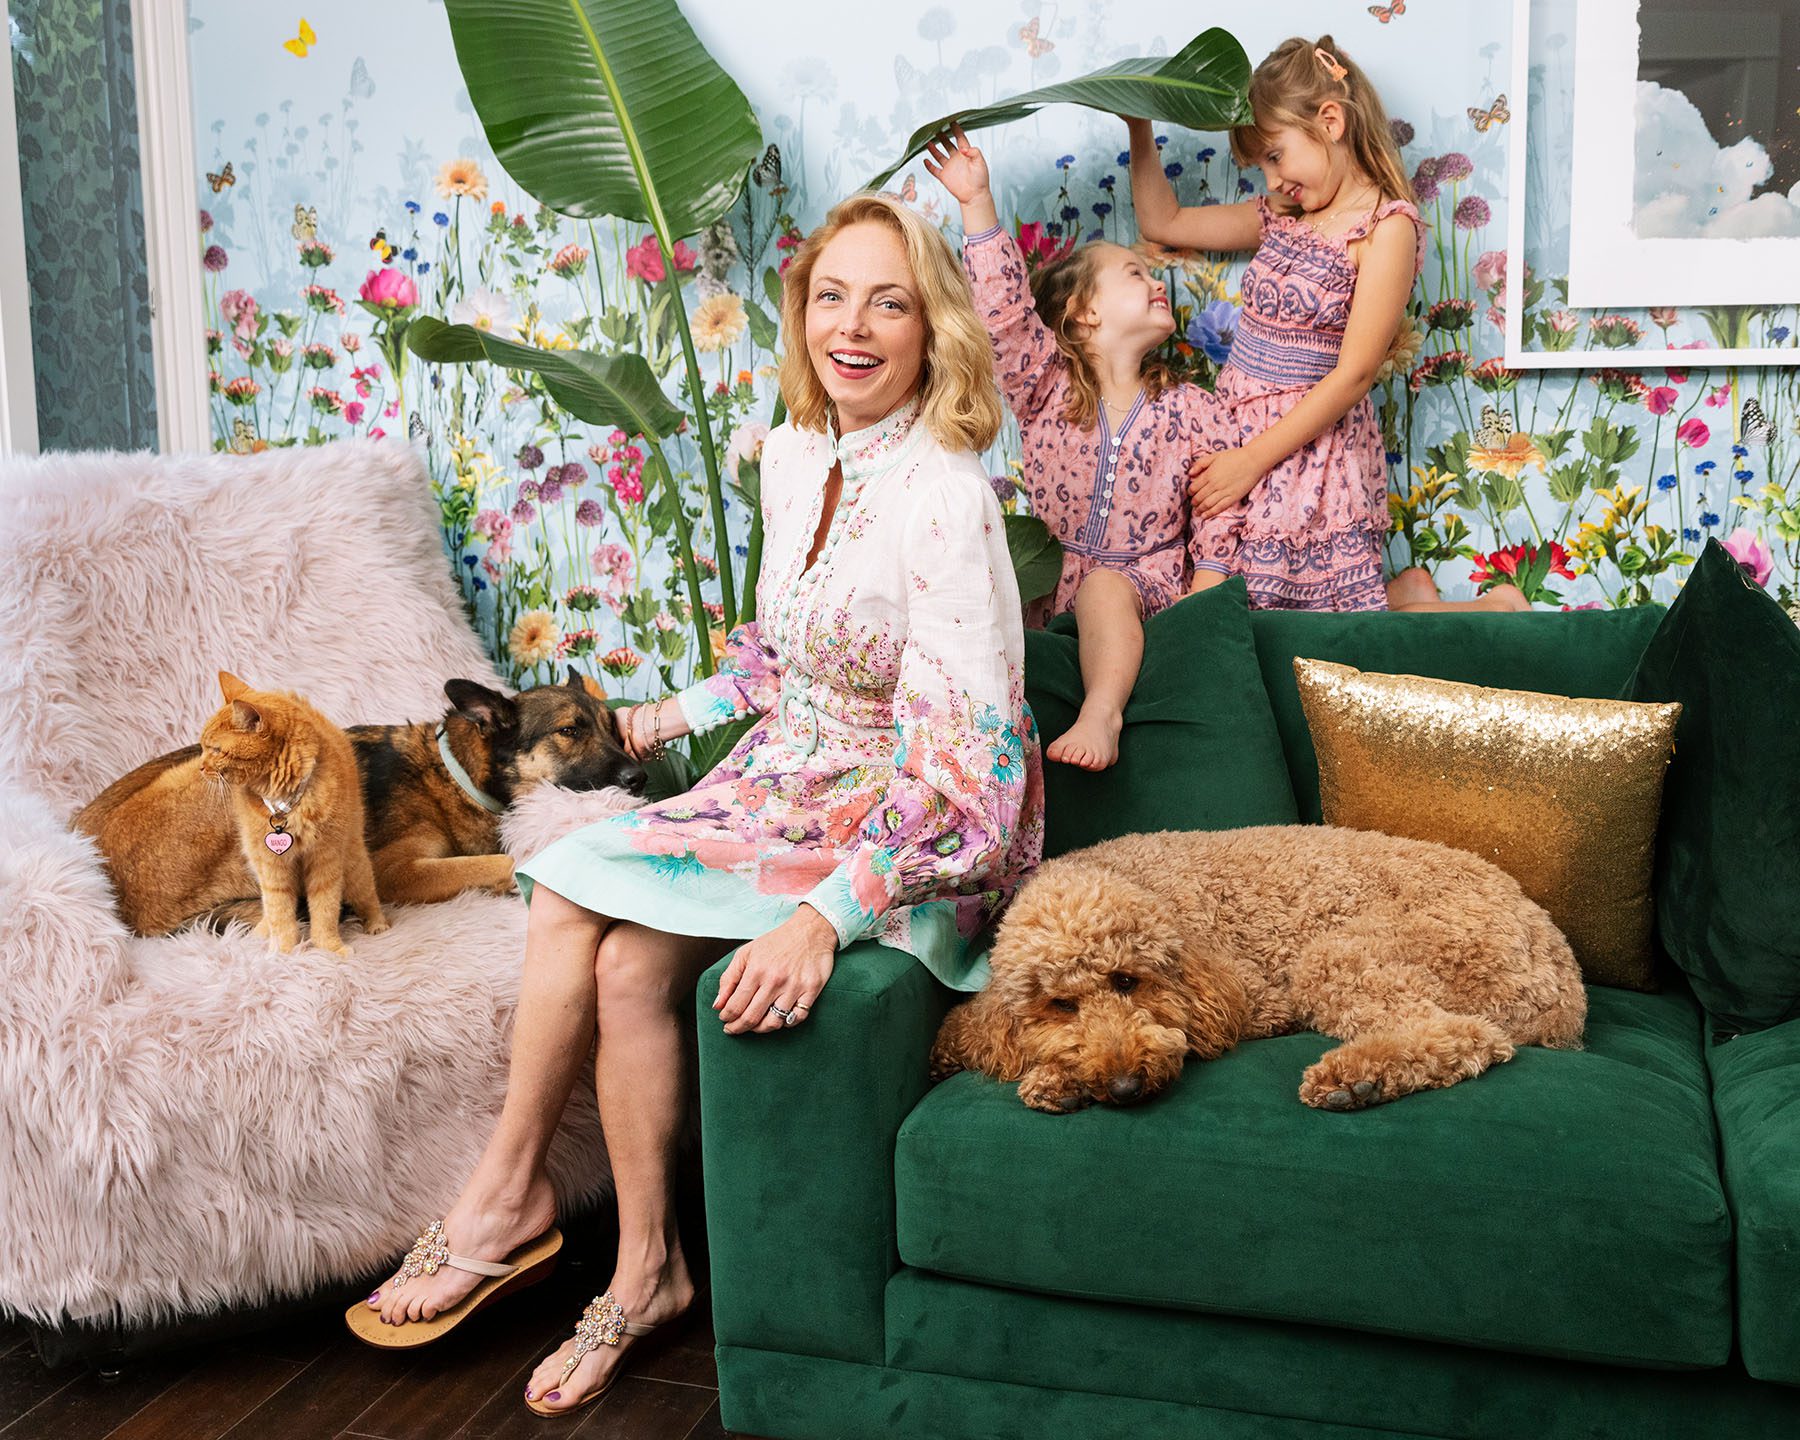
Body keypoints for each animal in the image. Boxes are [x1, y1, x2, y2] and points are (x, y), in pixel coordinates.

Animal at [198, 673, 388, 957]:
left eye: (216, 750)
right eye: (201, 747)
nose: (200, 767)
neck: (284, 801)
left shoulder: (326, 860)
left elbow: (325, 909)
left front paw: (329, 947)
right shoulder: (272, 867)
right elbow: (280, 913)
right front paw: (285, 953)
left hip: (354, 862)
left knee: (367, 894)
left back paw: (377, 924)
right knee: (268, 910)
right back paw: (260, 933)